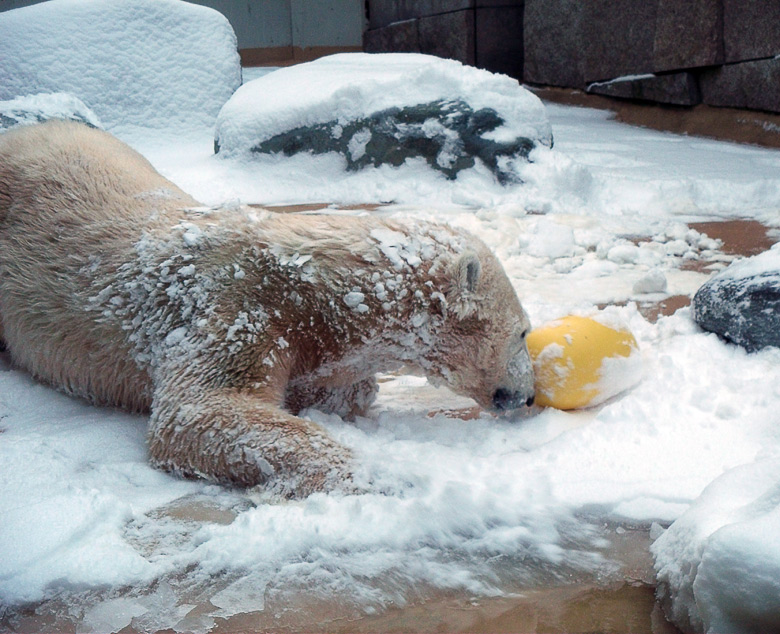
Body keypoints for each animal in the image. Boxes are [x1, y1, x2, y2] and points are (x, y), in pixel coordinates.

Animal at [0, 121, 536, 496]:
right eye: (524, 332)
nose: (528, 396)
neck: (312, 292)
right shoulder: (235, 309)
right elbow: (197, 411)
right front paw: (378, 475)